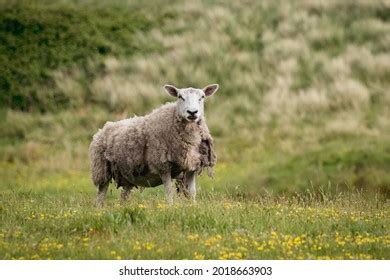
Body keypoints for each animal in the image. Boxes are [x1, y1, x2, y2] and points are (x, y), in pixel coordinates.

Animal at [87, 83, 219, 206]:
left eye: (202, 97)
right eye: (180, 96)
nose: (192, 112)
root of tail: (103, 128)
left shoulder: (192, 166)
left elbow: (192, 193)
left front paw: (193, 206)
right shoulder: (163, 166)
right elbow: (169, 192)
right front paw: (171, 208)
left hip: (127, 175)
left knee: (123, 197)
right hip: (101, 170)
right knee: (100, 195)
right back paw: (99, 210)